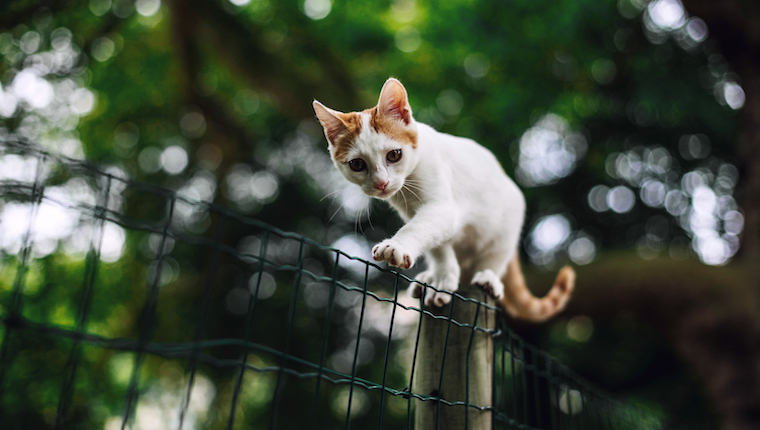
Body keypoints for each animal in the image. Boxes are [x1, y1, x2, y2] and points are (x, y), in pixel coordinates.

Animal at [312, 78, 572, 322]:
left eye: (394, 155)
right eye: (357, 164)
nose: (381, 183)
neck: (407, 187)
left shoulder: (443, 207)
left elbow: (421, 227)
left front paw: (398, 246)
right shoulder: (413, 211)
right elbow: (438, 245)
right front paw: (443, 276)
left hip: (506, 227)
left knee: (495, 256)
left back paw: (488, 277)